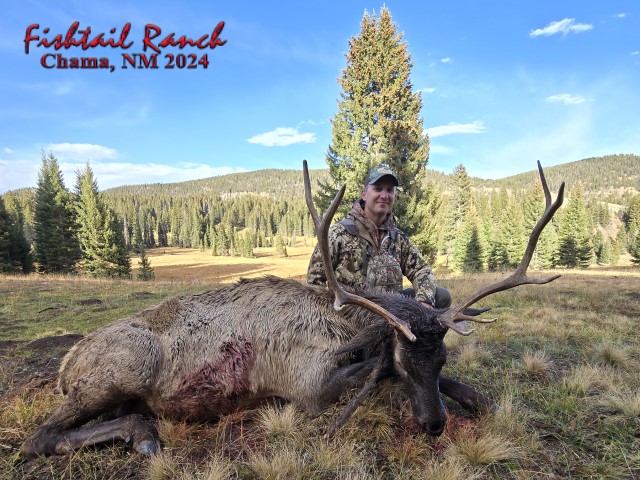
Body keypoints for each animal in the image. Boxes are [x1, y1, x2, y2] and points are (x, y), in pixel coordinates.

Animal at [19, 160, 564, 457]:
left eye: (442, 357)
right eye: (406, 364)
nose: (433, 425)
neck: (345, 328)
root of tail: (66, 366)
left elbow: (466, 388)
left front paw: (484, 401)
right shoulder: (304, 385)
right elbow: (363, 377)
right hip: (123, 367)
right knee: (38, 437)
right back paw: (143, 435)